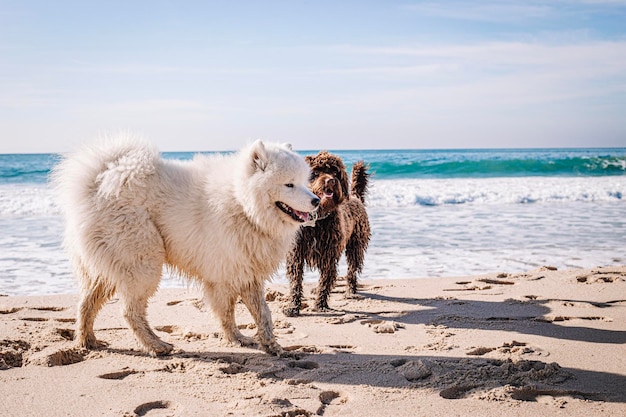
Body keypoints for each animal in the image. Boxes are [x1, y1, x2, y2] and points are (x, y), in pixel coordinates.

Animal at [51, 135, 320, 356]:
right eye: (289, 184)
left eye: (303, 182)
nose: (316, 200)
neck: (242, 204)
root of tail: (97, 182)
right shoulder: (224, 275)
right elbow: (228, 312)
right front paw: (237, 339)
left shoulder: (246, 273)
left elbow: (262, 314)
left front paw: (267, 345)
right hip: (143, 263)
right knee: (130, 312)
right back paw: (156, 346)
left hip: (110, 269)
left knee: (86, 304)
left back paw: (87, 342)